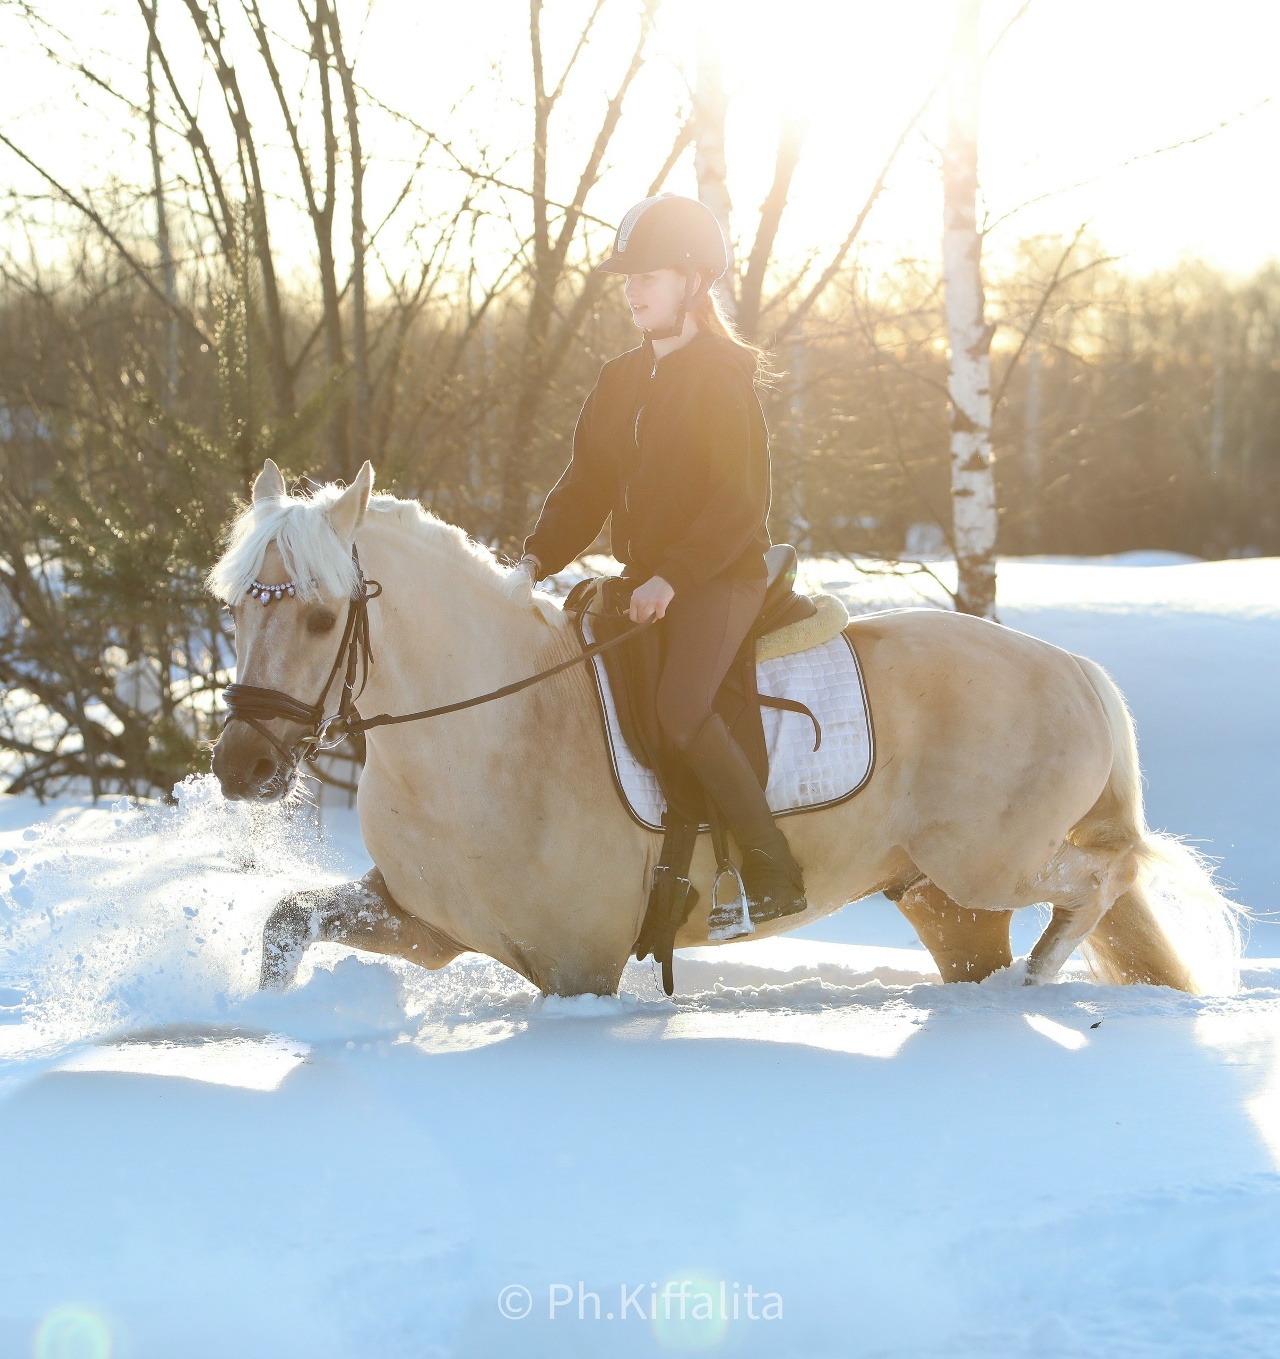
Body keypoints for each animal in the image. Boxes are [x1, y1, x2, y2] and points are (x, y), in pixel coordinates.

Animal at [208, 459, 1242, 998]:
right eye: (233, 607)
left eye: (318, 617)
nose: (241, 764)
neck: (493, 730)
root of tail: (1070, 668)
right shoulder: (425, 922)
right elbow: (286, 922)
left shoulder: (579, 967)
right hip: (945, 902)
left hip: (994, 864)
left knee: (1106, 876)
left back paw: (1042, 972)